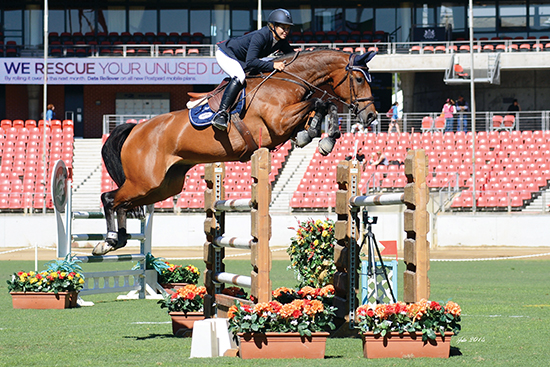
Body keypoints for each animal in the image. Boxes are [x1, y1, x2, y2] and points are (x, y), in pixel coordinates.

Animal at [95, 49, 380, 256]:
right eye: (358, 79)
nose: (371, 116)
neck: (286, 81)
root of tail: (135, 128)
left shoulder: (287, 124)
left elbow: (321, 106)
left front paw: (322, 137)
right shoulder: (278, 122)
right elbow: (321, 101)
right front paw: (321, 137)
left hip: (164, 186)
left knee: (122, 203)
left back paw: (118, 240)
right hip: (145, 181)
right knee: (109, 198)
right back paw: (108, 241)